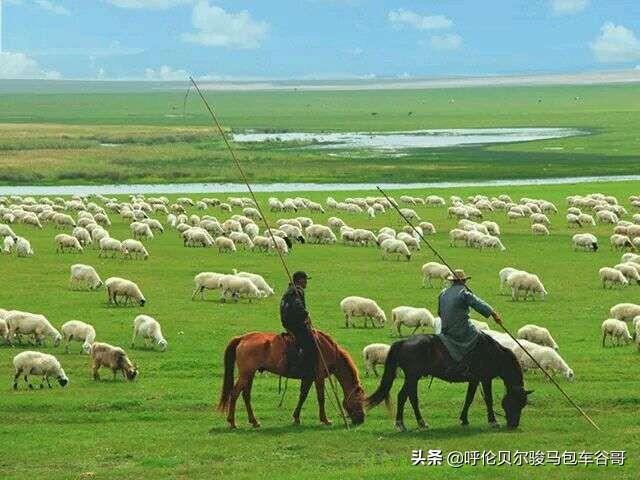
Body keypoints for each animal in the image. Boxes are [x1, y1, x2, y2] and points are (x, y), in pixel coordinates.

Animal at [218, 330, 362, 428]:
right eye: (359, 400)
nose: (361, 420)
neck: (327, 350)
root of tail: (243, 338)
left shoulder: (308, 378)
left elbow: (303, 396)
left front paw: (296, 418)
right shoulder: (319, 377)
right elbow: (321, 398)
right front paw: (325, 420)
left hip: (250, 374)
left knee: (246, 395)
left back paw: (254, 421)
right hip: (246, 374)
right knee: (235, 393)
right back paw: (232, 422)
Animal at [364, 332, 528, 430]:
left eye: (523, 404)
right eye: (516, 402)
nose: (514, 424)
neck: (494, 354)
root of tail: (403, 342)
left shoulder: (474, 380)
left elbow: (469, 398)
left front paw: (464, 420)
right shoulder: (485, 379)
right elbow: (488, 399)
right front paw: (493, 421)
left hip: (413, 378)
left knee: (410, 396)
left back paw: (420, 422)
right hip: (412, 377)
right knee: (404, 396)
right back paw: (401, 424)